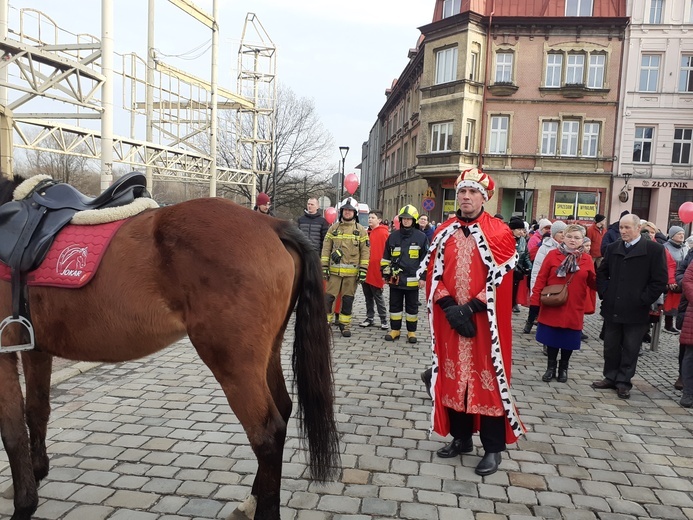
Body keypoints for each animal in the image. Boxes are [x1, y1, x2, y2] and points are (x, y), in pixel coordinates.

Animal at [0, 177, 338, 516]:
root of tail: (272, 224)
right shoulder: (35, 349)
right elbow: (36, 411)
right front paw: (37, 472)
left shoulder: (4, 353)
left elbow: (12, 429)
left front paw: (24, 504)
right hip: (267, 353)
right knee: (283, 409)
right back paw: (252, 500)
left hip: (235, 364)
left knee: (267, 434)